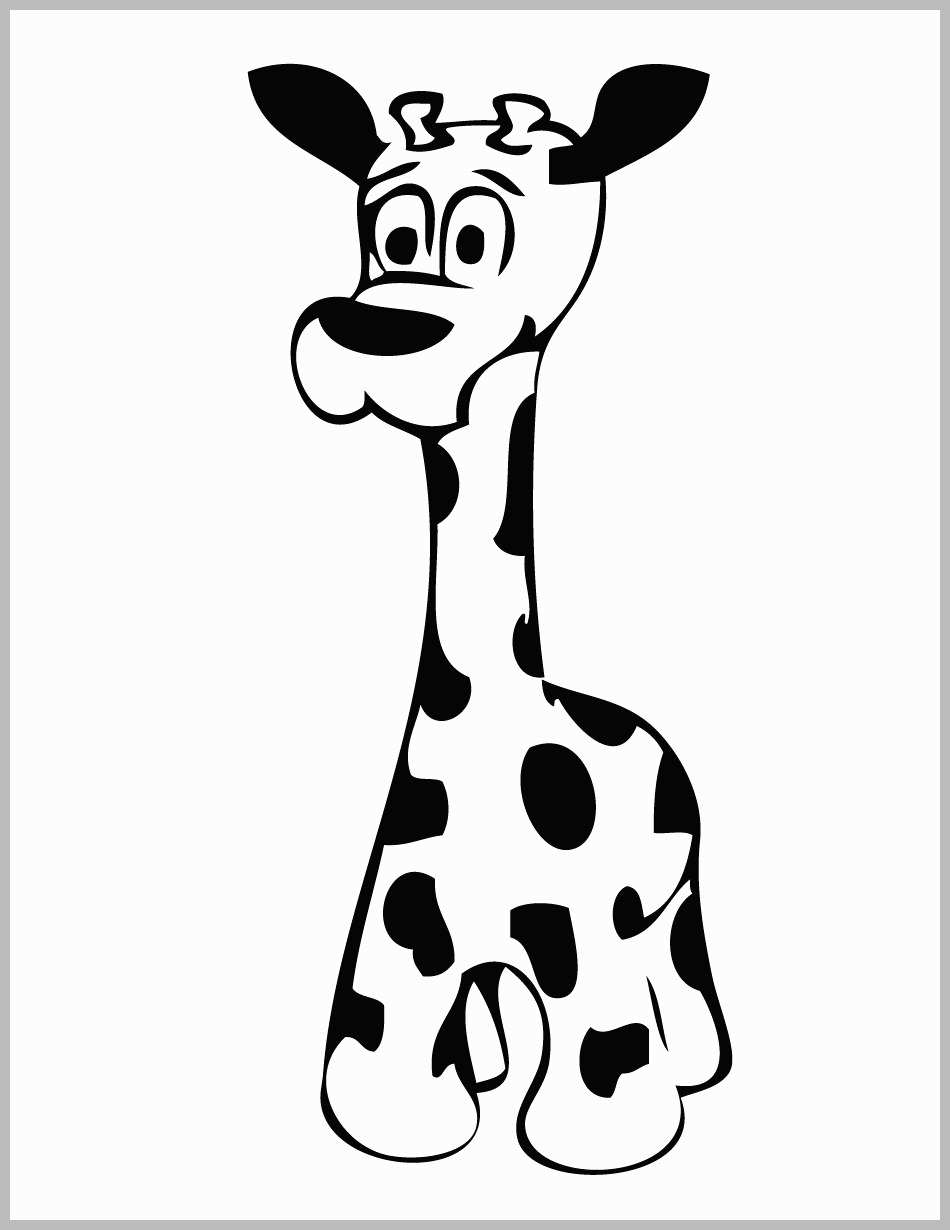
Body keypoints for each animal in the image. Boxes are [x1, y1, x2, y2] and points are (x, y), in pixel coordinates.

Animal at [250, 63, 731, 1175]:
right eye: (389, 235)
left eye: (477, 237)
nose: (368, 337)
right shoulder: (396, 959)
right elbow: (378, 1080)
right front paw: (428, 1124)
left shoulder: (595, 952)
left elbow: (606, 1071)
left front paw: (607, 1140)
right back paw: (494, 1062)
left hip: (677, 892)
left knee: (680, 966)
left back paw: (699, 1067)